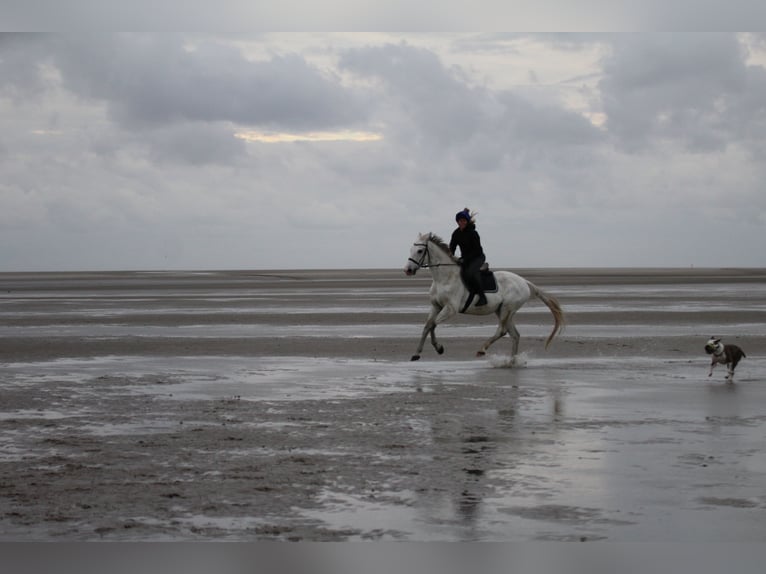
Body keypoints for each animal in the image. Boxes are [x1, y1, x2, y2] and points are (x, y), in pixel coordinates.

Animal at [408, 233, 564, 360]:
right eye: (410, 249)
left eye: (420, 251)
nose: (408, 270)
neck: (445, 278)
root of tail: (524, 281)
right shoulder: (436, 306)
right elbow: (427, 326)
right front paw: (416, 353)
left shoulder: (450, 309)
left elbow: (433, 324)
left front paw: (439, 348)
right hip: (502, 311)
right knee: (514, 334)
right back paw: (511, 362)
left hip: (507, 309)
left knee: (502, 331)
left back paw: (482, 350)